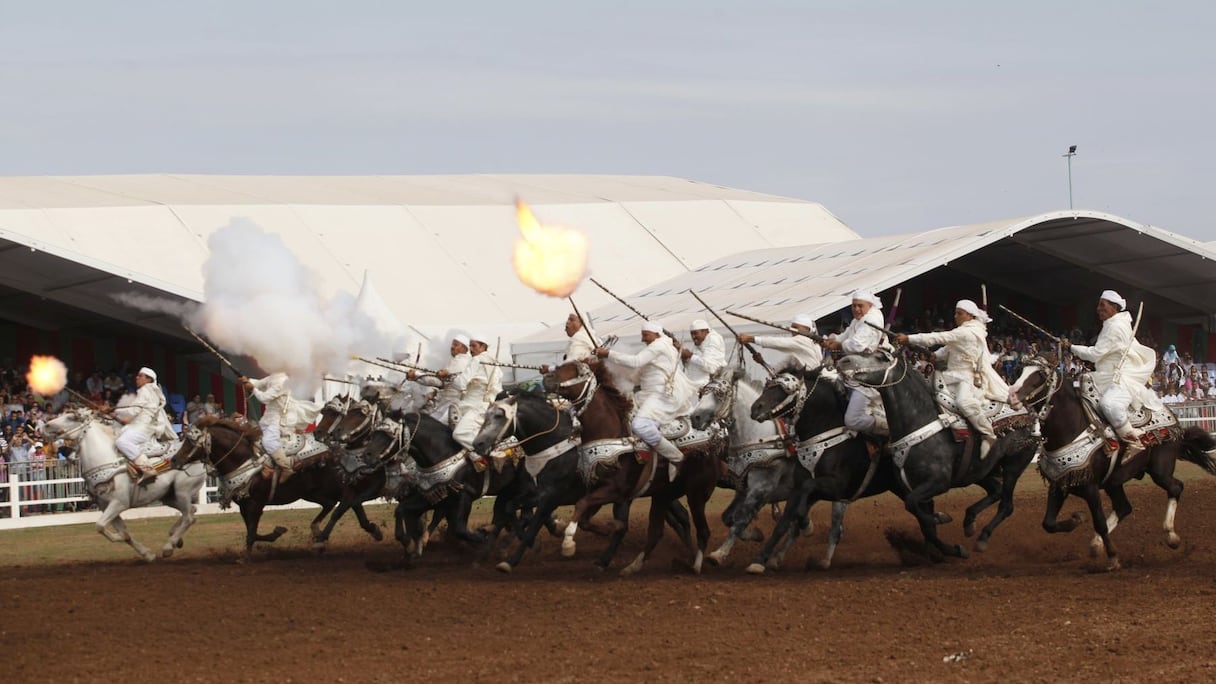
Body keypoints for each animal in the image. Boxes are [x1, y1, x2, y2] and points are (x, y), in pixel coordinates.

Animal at [42, 404, 206, 559]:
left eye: (71, 417)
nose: (45, 425)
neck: (106, 461)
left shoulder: (118, 503)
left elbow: (101, 526)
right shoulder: (105, 506)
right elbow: (121, 532)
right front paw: (147, 554)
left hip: (182, 491)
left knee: (189, 517)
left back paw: (169, 546)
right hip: (169, 496)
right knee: (191, 511)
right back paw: (175, 537)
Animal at [171, 416, 379, 554]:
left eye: (191, 442)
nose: (174, 460)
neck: (245, 461)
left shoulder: (255, 504)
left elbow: (251, 533)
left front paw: (246, 557)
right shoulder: (244, 506)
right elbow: (253, 532)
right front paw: (276, 533)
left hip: (333, 487)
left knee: (348, 502)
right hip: (312, 492)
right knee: (337, 504)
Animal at [537, 360, 715, 572]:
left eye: (577, 370)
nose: (546, 377)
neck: (611, 432)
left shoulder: (615, 490)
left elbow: (582, 506)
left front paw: (568, 543)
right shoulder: (602, 490)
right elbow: (590, 519)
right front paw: (603, 535)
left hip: (696, 493)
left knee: (702, 530)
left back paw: (696, 564)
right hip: (663, 495)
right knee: (659, 530)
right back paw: (637, 565)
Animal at [836, 345, 1045, 559]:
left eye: (879, 357)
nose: (843, 361)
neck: (919, 421)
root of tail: (1029, 413)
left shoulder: (938, 482)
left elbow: (913, 505)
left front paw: (941, 518)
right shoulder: (910, 486)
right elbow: (920, 516)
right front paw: (949, 541)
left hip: (1014, 465)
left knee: (1007, 504)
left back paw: (982, 537)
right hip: (982, 470)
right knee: (995, 490)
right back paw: (969, 521)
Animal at [1006, 352, 1216, 567]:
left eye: (1040, 376)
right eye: (1020, 371)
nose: (1012, 394)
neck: (1073, 428)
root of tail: (1174, 421)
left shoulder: (1090, 487)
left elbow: (1099, 521)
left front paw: (1113, 557)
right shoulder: (1060, 484)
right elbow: (1048, 523)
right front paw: (1077, 520)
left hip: (1159, 470)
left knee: (1175, 488)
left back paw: (1171, 536)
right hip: (1114, 482)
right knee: (1124, 507)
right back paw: (1096, 544)